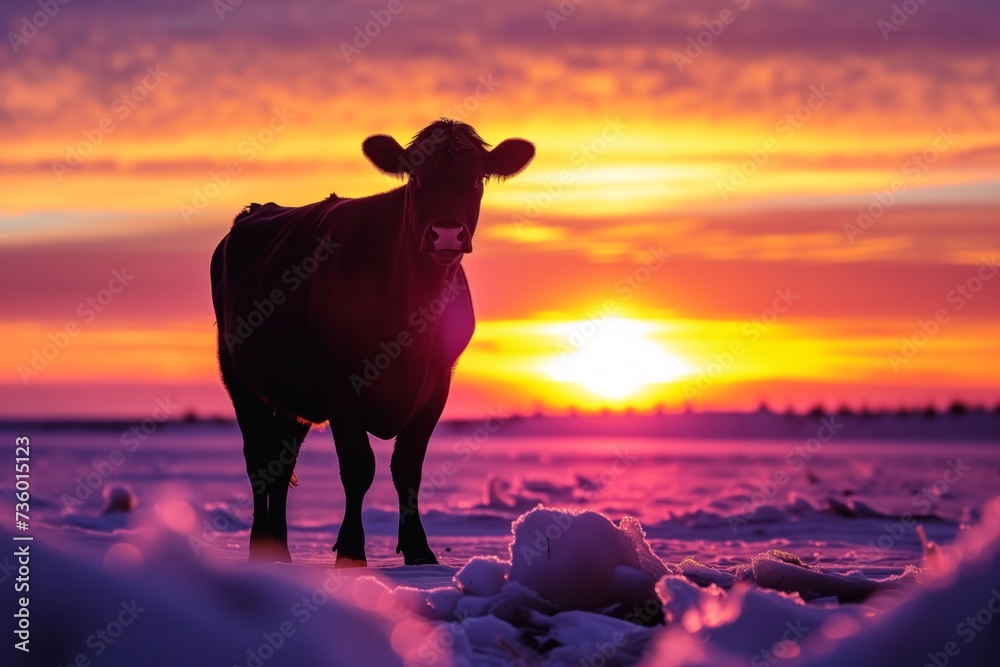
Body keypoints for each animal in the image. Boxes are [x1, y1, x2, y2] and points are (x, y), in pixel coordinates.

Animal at [210, 121, 536, 568]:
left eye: (477, 179)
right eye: (416, 178)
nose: (446, 234)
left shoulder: (438, 383)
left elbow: (408, 466)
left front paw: (420, 552)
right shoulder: (339, 384)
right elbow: (358, 466)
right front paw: (351, 551)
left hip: (291, 396)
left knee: (281, 460)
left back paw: (283, 554)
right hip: (239, 377)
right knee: (259, 457)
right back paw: (262, 550)